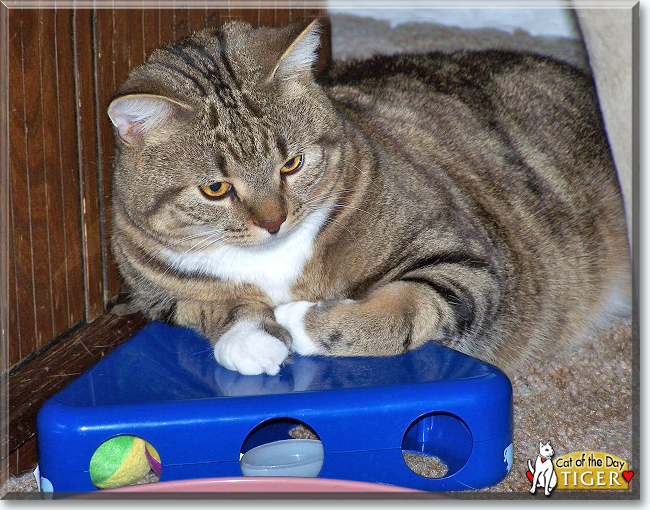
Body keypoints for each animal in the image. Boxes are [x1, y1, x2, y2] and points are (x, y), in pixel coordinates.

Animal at [109, 19, 632, 376]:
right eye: (216, 188)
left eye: (292, 163)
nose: (275, 222)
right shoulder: (154, 293)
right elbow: (210, 306)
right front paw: (251, 338)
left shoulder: (465, 258)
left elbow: (408, 308)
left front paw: (299, 322)